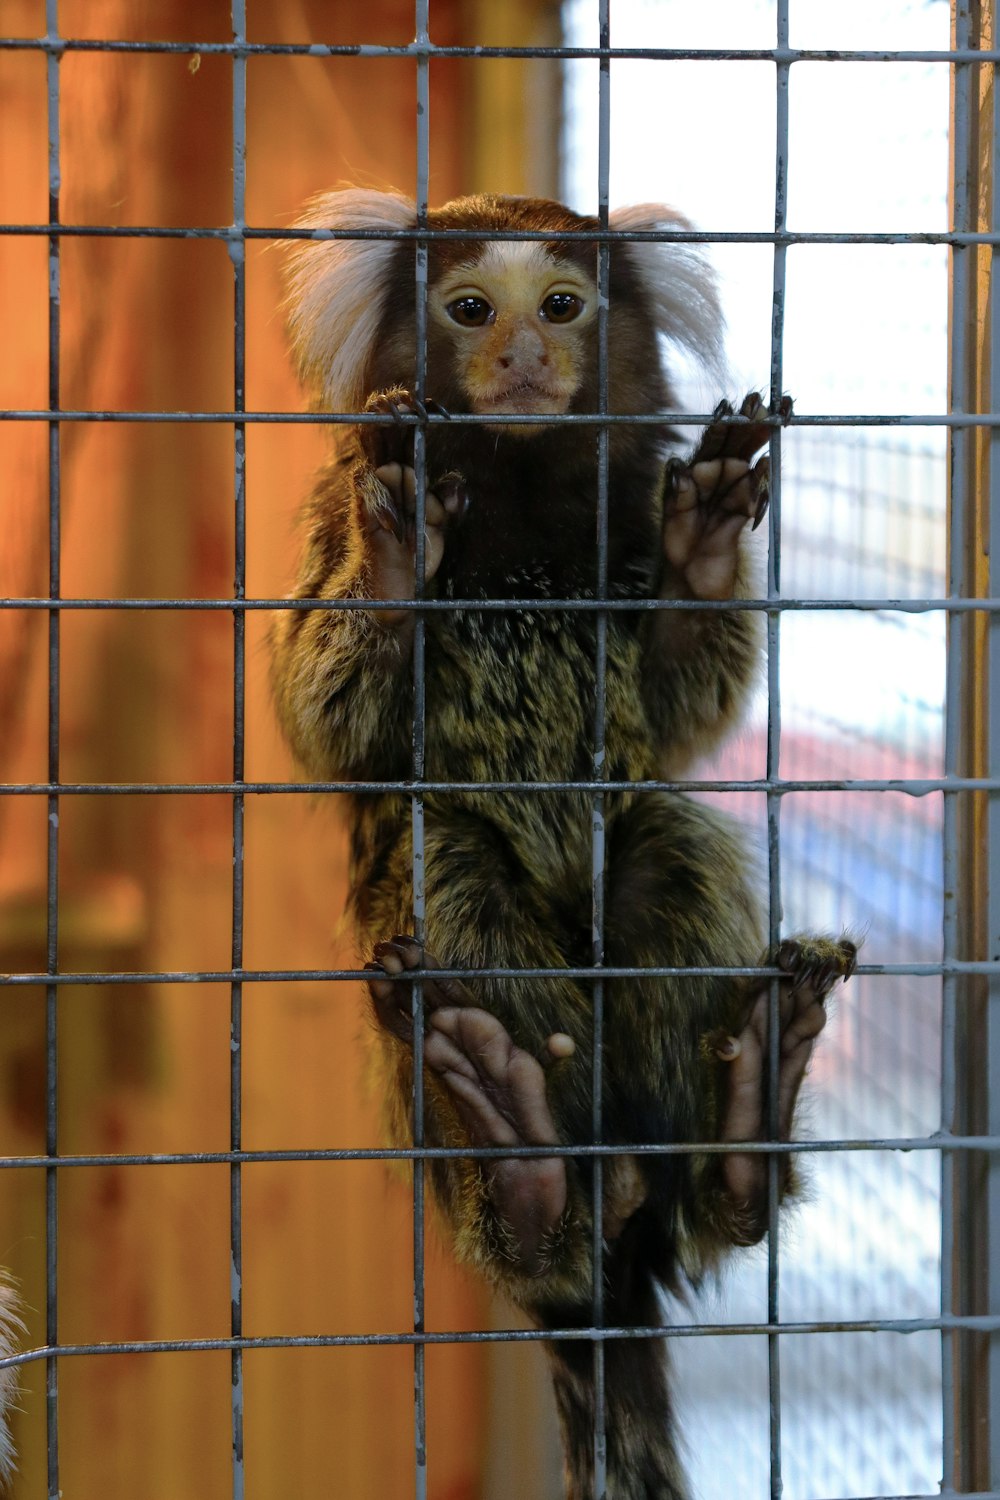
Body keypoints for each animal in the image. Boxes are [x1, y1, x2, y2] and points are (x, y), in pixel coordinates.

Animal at [269, 190, 857, 1500]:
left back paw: (738, 1134)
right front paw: (399, 553)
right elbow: (329, 712)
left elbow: (681, 705)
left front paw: (702, 551)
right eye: (468, 308)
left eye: (560, 304)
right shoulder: (335, 509)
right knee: (447, 878)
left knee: (666, 850)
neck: (528, 508)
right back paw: (523, 1164)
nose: (527, 357)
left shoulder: (628, 522)